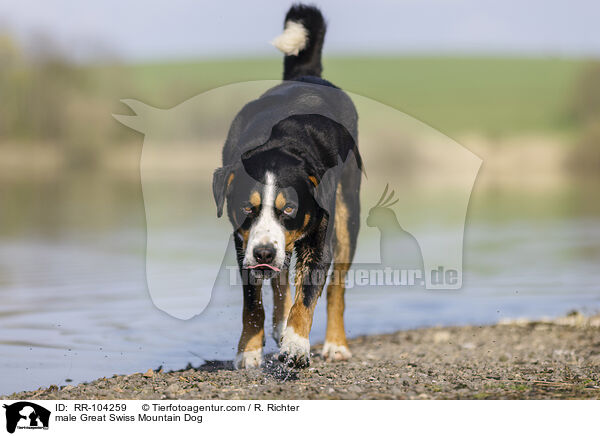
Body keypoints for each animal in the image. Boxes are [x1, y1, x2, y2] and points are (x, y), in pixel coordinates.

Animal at [212, 5, 360, 370]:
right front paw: (249, 350)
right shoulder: (244, 243)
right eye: (246, 207)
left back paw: (336, 344)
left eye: (289, 207)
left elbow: (306, 297)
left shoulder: (319, 243)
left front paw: (295, 345)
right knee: (280, 280)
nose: (264, 253)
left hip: (347, 216)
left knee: (337, 288)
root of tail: (305, 76)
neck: (280, 143)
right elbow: (253, 303)